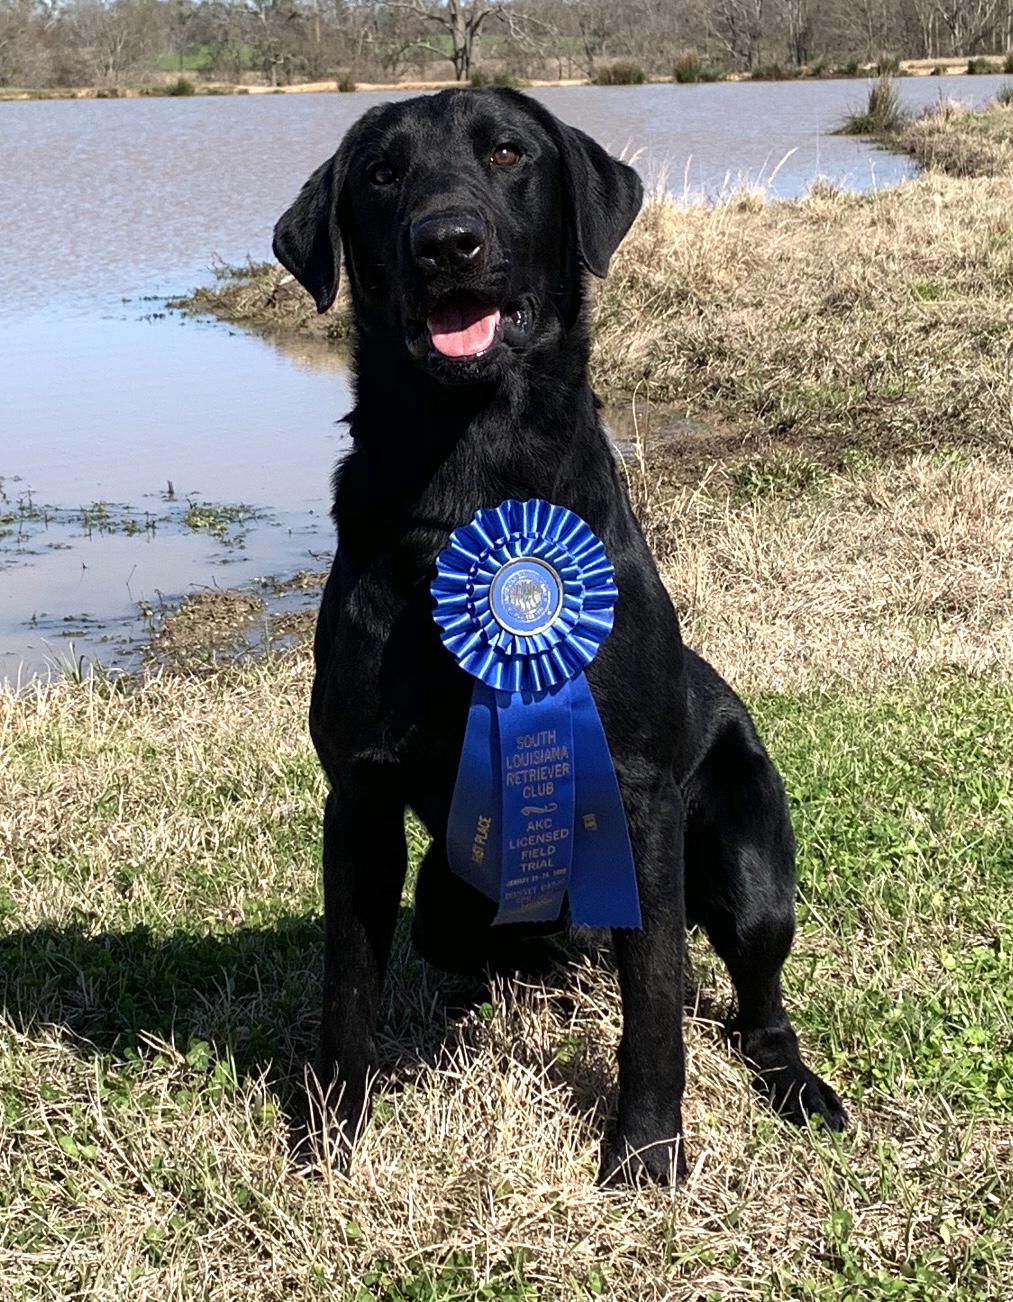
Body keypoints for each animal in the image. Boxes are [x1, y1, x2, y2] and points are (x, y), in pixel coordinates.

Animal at [270, 86, 843, 1187]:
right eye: (381, 174)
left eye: (506, 152)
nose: (447, 242)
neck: (469, 485)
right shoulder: (357, 800)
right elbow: (345, 991)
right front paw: (328, 1136)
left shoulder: (637, 799)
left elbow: (653, 1004)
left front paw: (646, 1152)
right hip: (452, 898)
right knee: (498, 953)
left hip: (751, 866)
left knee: (752, 1003)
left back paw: (794, 1082)